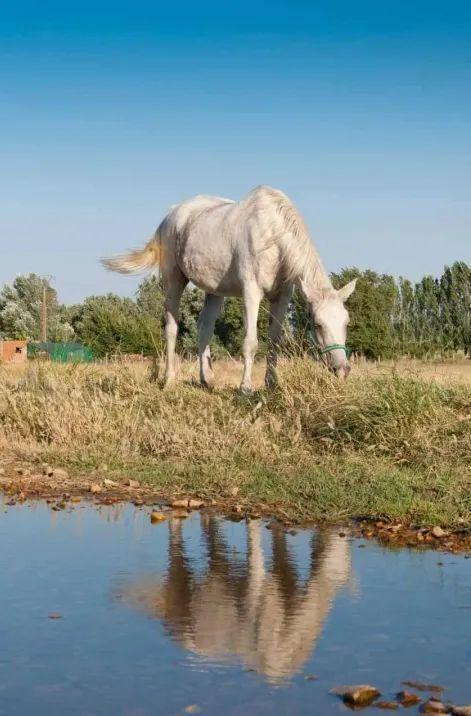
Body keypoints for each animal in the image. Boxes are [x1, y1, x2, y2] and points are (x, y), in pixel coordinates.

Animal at [102, 185, 354, 392]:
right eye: (318, 324)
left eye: (346, 323)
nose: (342, 370)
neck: (271, 234)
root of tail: (170, 215)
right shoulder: (251, 293)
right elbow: (251, 343)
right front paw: (245, 389)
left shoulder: (281, 297)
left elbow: (274, 341)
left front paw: (272, 384)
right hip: (173, 280)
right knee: (171, 328)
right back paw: (169, 380)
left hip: (214, 291)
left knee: (204, 327)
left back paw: (207, 380)